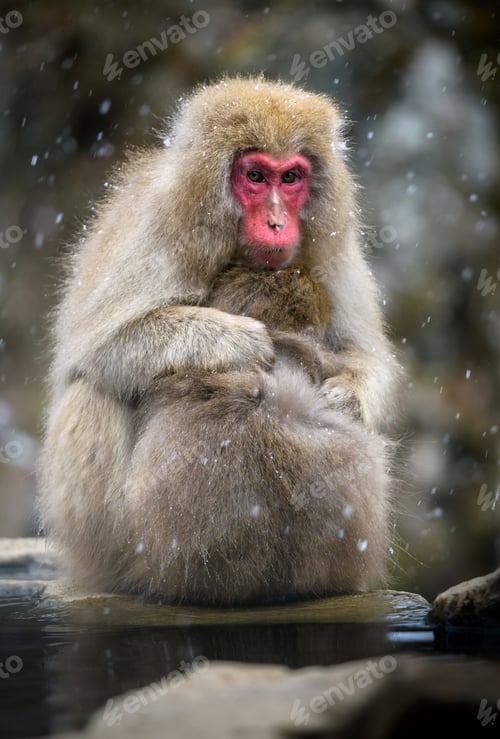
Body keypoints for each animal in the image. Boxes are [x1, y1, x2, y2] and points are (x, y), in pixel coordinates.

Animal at [39, 76, 402, 605]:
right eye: (255, 176)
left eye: (290, 178)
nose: (277, 223)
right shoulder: (159, 233)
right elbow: (100, 347)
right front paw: (238, 339)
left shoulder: (334, 250)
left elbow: (366, 355)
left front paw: (347, 395)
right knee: (93, 388)